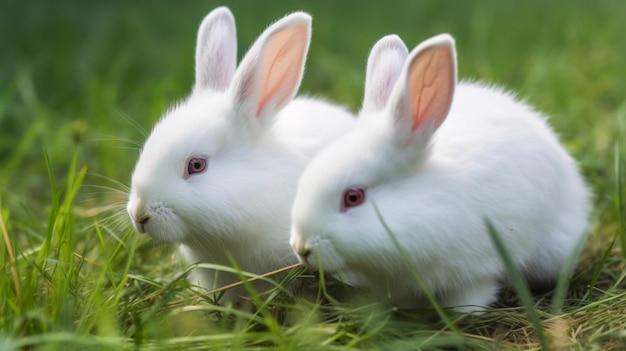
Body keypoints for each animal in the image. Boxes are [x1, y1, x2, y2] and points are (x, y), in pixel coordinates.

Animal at [290, 33, 588, 314]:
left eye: (353, 197)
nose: (301, 248)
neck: (428, 201)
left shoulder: (477, 267)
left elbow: (474, 293)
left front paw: (465, 313)